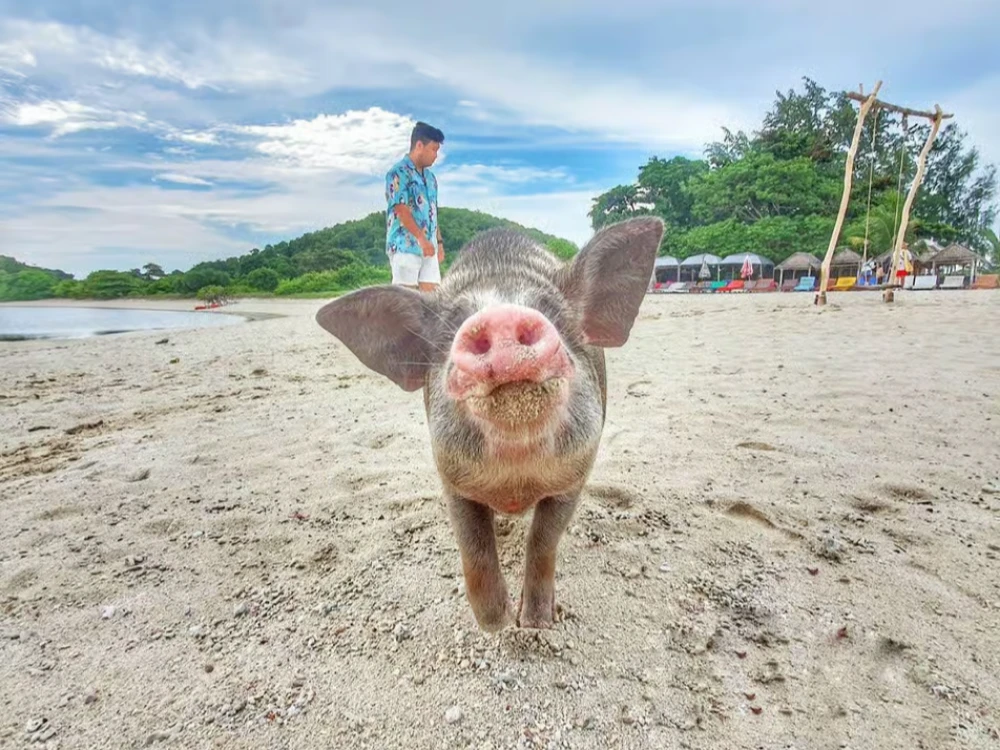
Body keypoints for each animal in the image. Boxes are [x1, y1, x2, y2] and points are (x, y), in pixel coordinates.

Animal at [315, 216, 664, 631]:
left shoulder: (574, 476)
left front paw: (536, 623)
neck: (515, 478)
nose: (502, 317)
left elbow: (543, 541)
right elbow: (474, 547)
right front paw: (495, 627)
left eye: (552, 311)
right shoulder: (452, 478)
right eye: (450, 327)